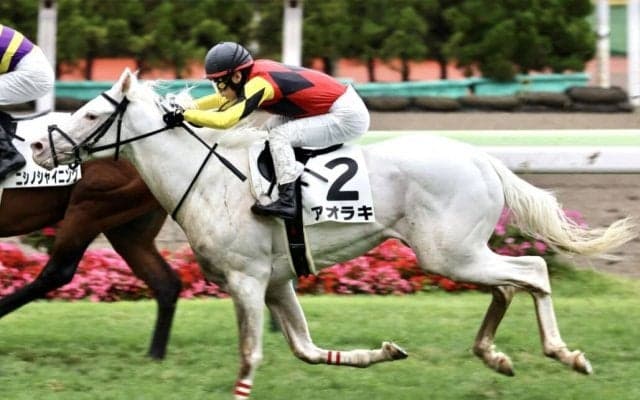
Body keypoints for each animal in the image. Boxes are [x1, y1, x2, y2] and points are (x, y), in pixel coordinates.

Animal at [30, 69, 636, 399]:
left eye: (92, 115)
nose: (37, 146)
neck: (209, 180)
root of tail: (482, 158)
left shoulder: (247, 282)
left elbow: (251, 354)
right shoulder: (276, 283)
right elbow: (306, 349)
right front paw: (384, 352)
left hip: (450, 253)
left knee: (531, 271)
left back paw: (564, 353)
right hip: (454, 254)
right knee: (509, 285)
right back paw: (494, 355)